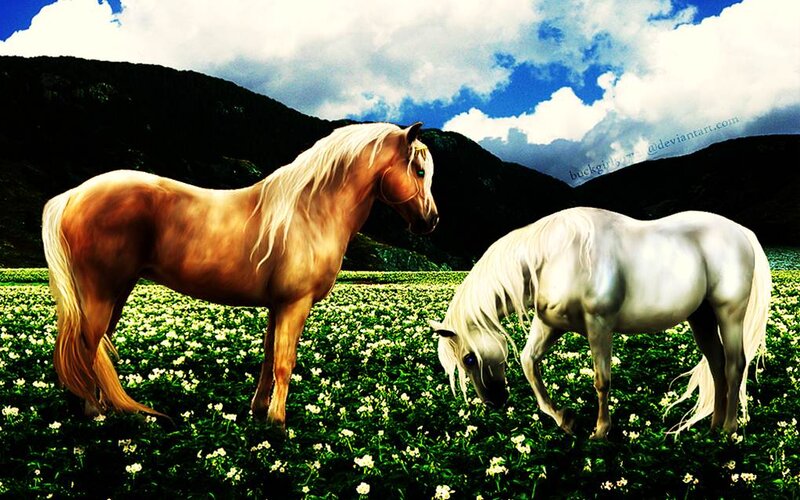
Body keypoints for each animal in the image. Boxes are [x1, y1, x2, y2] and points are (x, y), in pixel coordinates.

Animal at [42, 121, 438, 429]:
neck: (311, 212)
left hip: (116, 293)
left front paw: (259, 411)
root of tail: (73, 194)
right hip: (101, 293)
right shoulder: (295, 304)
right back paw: (96, 412)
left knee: (95, 348)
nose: (431, 221)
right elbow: (284, 361)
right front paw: (278, 424)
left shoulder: (277, 305)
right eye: (419, 171)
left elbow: (268, 357)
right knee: (87, 346)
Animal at [431, 207, 770, 439]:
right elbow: (529, 361)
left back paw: (728, 430)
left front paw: (600, 431)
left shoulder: (599, 326)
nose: (494, 401)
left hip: (729, 313)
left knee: (734, 364)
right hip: (701, 317)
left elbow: (601, 380)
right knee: (716, 364)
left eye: (468, 358)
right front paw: (564, 419)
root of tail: (741, 231)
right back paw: (712, 427)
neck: (552, 257)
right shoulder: (549, 325)